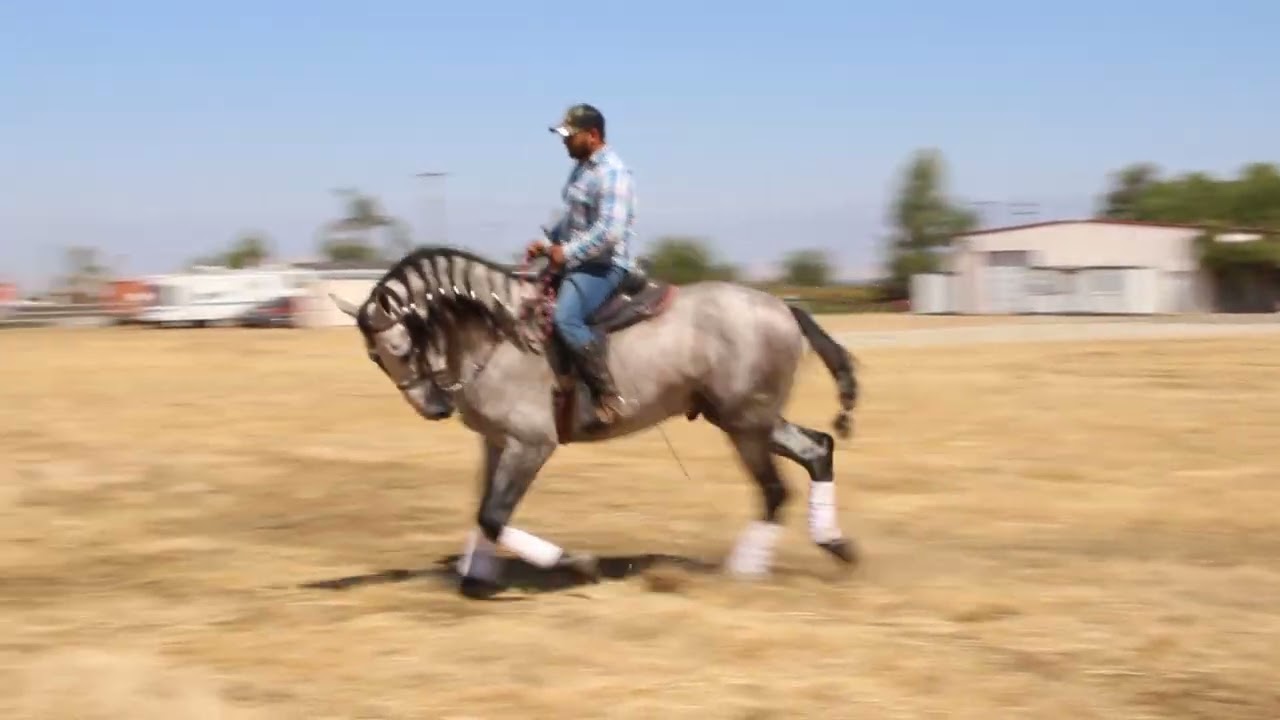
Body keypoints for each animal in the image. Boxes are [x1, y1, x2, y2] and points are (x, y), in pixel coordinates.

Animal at [328, 245, 861, 598]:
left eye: (401, 345)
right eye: (375, 357)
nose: (435, 407)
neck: (498, 334)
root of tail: (783, 307)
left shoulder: (532, 443)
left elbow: (495, 515)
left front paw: (577, 563)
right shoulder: (497, 443)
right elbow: (485, 511)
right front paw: (475, 574)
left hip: (744, 422)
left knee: (778, 484)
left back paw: (745, 569)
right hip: (747, 419)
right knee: (815, 452)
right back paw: (830, 544)